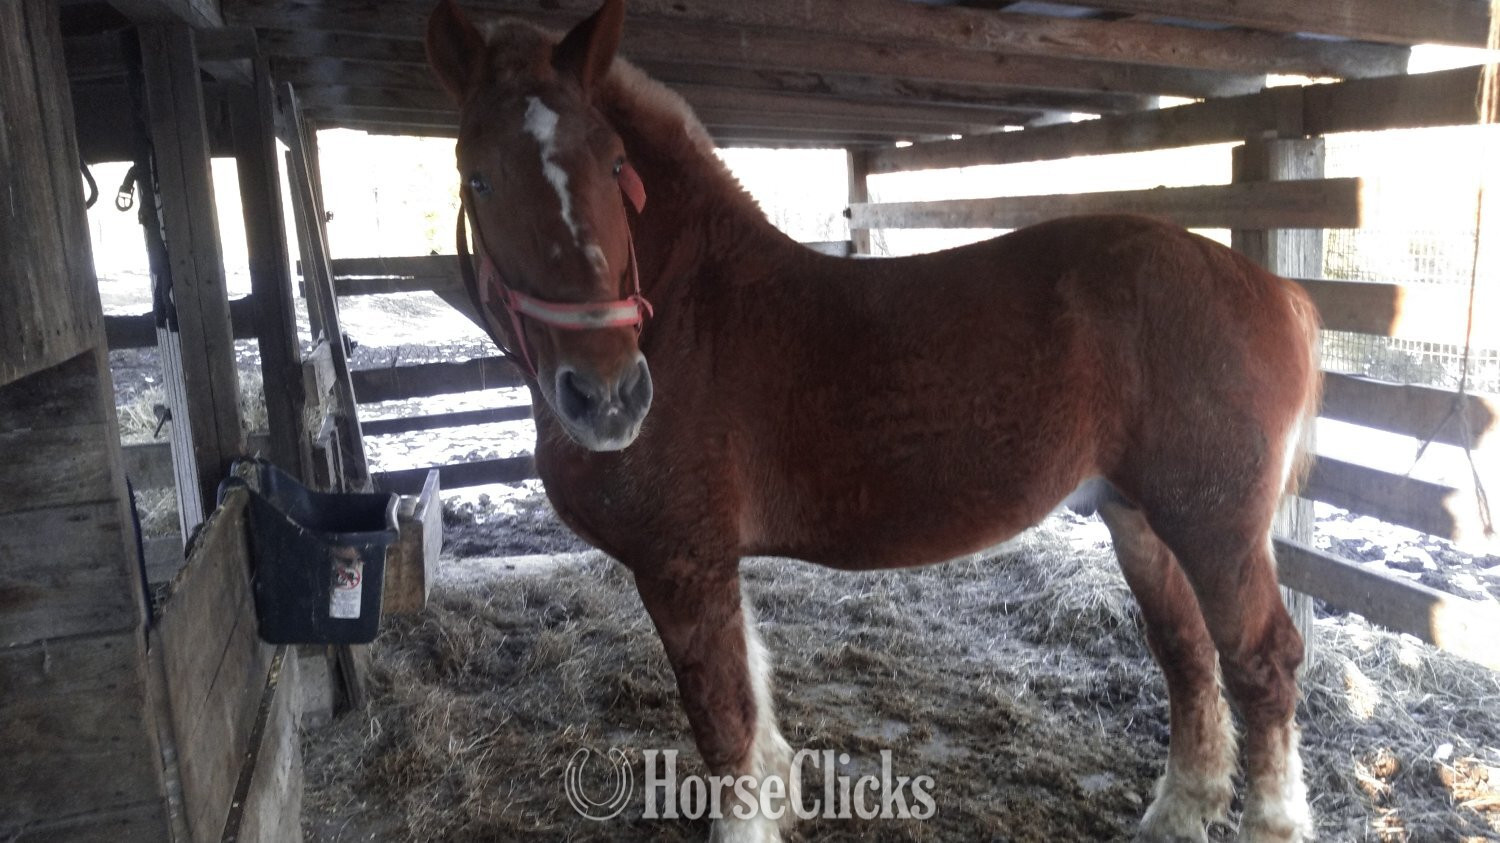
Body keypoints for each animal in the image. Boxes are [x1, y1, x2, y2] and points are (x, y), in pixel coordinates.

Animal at [425, 1, 1323, 840]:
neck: (691, 309)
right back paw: (1180, 810)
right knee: (1189, 656)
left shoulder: (681, 561)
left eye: (615, 166)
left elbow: (723, 720)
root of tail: (1276, 291)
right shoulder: (712, 562)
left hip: (1214, 526)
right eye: (476, 176)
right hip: (1139, 518)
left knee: (1261, 664)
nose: (608, 396)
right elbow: (752, 697)